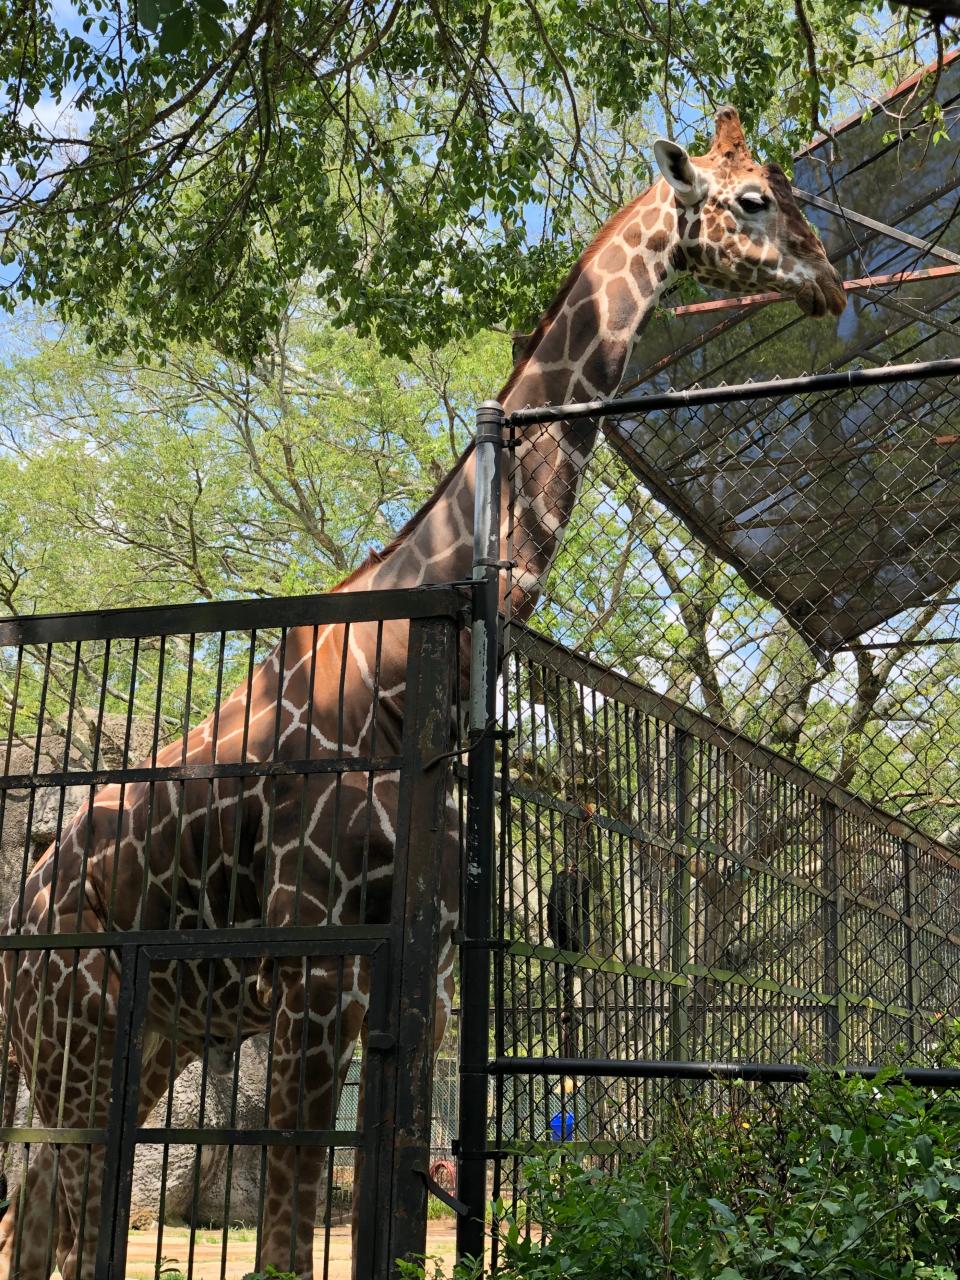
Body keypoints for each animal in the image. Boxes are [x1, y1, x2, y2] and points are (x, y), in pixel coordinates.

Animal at [0, 107, 839, 1280]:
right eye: (754, 198)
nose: (832, 282)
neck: (409, 677)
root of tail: (23, 910)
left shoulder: (426, 984)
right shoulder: (313, 978)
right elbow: (287, 1243)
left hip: (142, 1045)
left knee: (27, 1222)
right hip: (82, 1044)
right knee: (70, 1234)